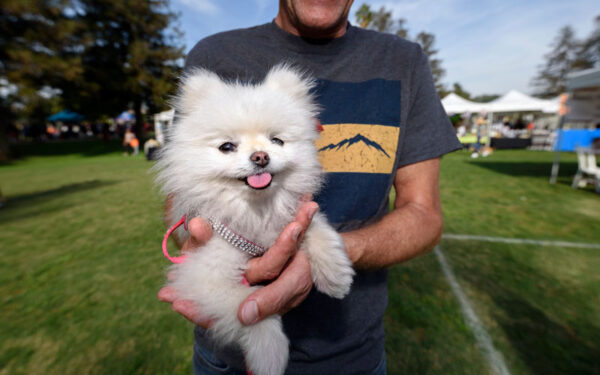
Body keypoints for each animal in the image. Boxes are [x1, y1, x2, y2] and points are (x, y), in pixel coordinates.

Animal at [154, 65, 356, 375]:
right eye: (227, 147)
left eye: (277, 141)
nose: (260, 157)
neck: (257, 209)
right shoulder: (203, 276)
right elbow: (247, 306)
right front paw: (269, 352)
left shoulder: (291, 216)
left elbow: (317, 229)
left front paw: (335, 274)